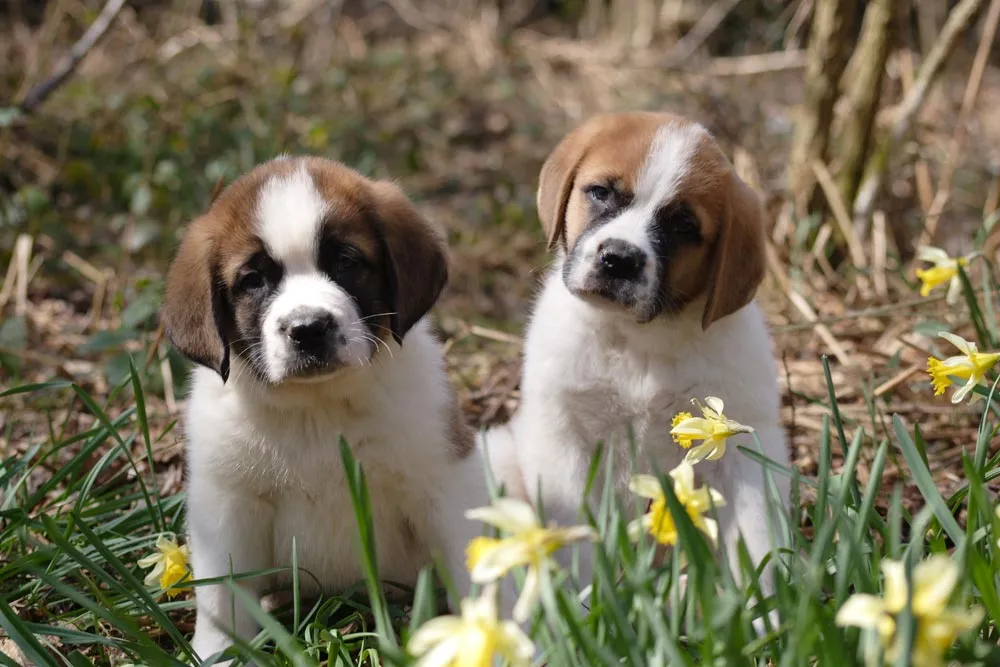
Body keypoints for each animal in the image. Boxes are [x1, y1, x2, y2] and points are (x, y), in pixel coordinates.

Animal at [162, 157, 490, 664]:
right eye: (253, 280)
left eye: (346, 262)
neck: (315, 409)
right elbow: (222, 596)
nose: (308, 328)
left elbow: (469, 561)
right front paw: (220, 653)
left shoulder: (443, 479)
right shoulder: (227, 505)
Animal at [482, 111, 788, 616]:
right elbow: (579, 534)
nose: (619, 259)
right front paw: (583, 611)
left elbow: (755, 539)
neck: (636, 338)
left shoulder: (744, 446)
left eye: (683, 225)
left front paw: (763, 613)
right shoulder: (562, 437)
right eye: (601, 192)